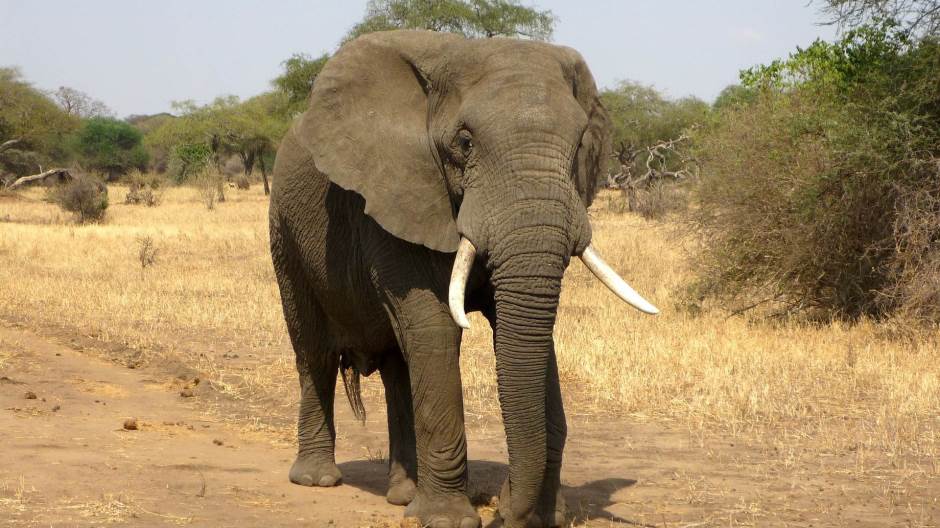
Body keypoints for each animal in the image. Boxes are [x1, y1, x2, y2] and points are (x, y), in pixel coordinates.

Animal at [268, 30, 658, 528]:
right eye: (465, 141)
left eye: (578, 147)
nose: (506, 514)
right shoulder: (397, 194)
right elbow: (435, 327)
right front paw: (447, 519)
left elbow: (528, 333)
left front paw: (541, 515)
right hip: (285, 232)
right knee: (314, 351)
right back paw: (318, 480)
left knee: (398, 366)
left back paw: (403, 494)